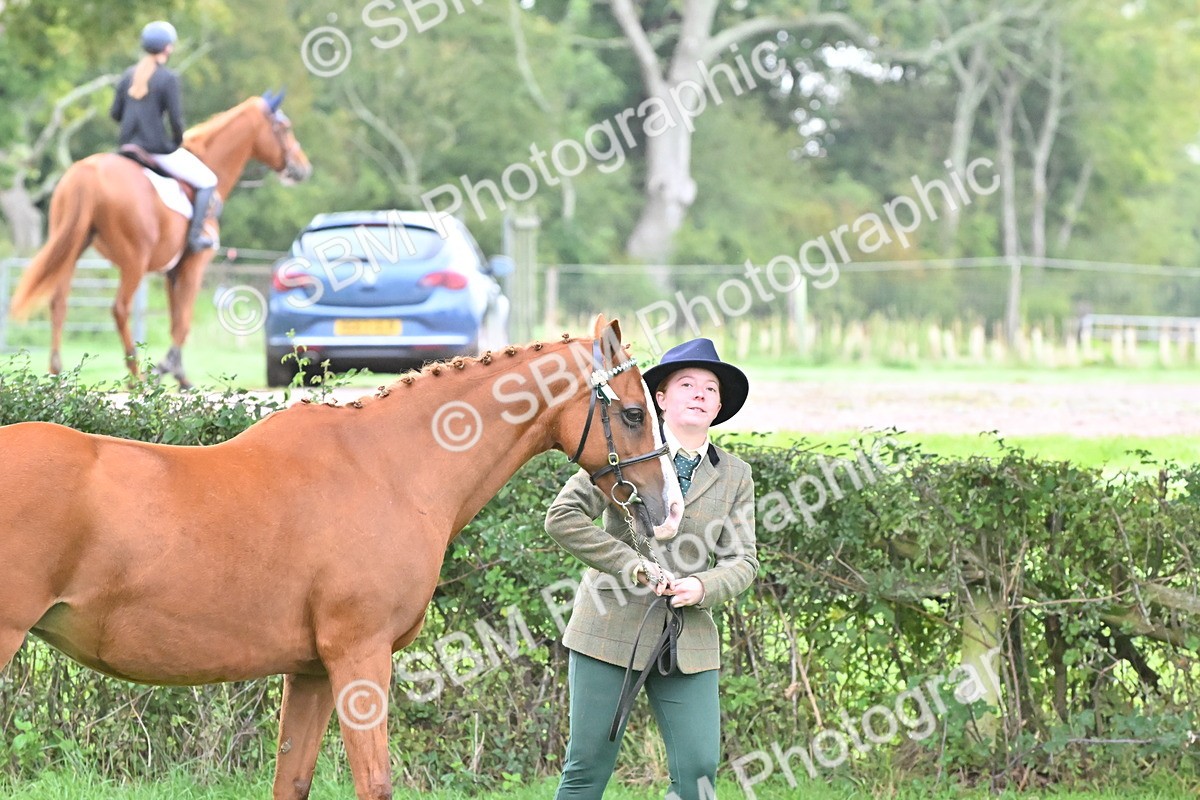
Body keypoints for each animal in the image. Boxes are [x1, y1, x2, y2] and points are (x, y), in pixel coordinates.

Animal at [0, 316, 685, 800]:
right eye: (632, 412)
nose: (670, 507)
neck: (389, 468)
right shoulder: (359, 657)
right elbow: (374, 783)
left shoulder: (309, 671)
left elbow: (291, 781)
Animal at [7, 91, 312, 389]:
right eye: (285, 128)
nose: (302, 168)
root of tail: (88, 171)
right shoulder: (193, 266)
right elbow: (184, 322)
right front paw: (167, 371)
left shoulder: (172, 271)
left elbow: (175, 320)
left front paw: (180, 375)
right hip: (133, 260)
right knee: (120, 309)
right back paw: (136, 377)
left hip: (72, 248)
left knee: (59, 303)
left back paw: (57, 374)